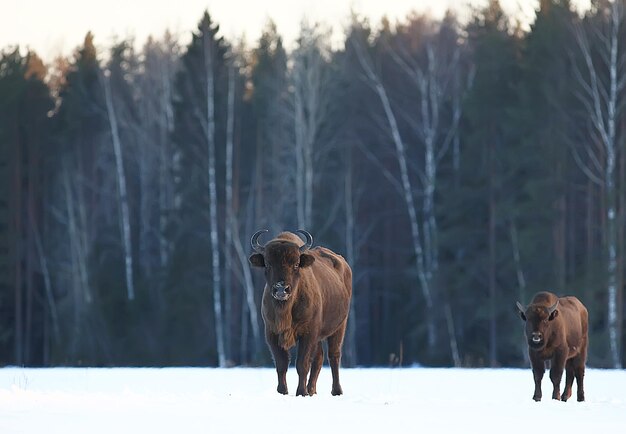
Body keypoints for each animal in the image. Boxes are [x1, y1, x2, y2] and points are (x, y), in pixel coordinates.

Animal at [247, 231, 352, 396]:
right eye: (268, 264)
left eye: (296, 264)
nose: (281, 289)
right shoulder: (272, 333)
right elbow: (281, 364)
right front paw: (282, 391)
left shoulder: (308, 334)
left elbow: (302, 364)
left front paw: (301, 392)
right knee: (319, 358)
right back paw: (312, 390)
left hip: (339, 327)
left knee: (333, 356)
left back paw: (336, 391)